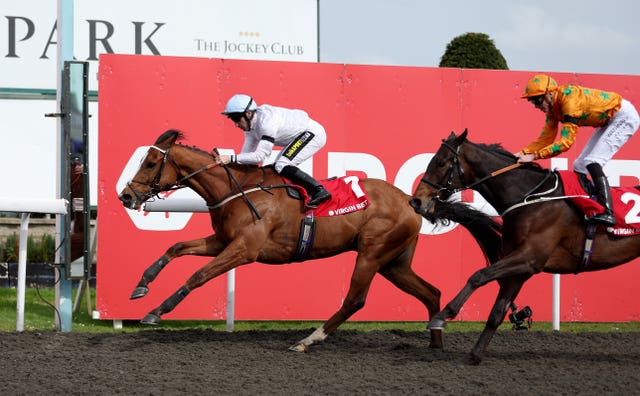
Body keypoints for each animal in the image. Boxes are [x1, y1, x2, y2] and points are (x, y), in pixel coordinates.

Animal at [119, 128, 500, 352]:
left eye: (150, 162)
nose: (126, 195)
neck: (236, 190)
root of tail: (410, 200)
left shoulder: (244, 249)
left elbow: (198, 275)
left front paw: (156, 312)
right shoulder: (222, 240)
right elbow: (176, 248)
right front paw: (141, 286)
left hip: (372, 253)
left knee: (354, 301)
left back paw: (307, 340)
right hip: (394, 262)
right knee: (431, 292)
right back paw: (435, 343)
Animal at [410, 130, 640, 366]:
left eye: (440, 162)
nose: (416, 201)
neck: (532, 200)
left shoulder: (529, 258)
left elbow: (478, 275)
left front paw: (442, 315)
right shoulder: (520, 268)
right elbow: (497, 311)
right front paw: (475, 354)